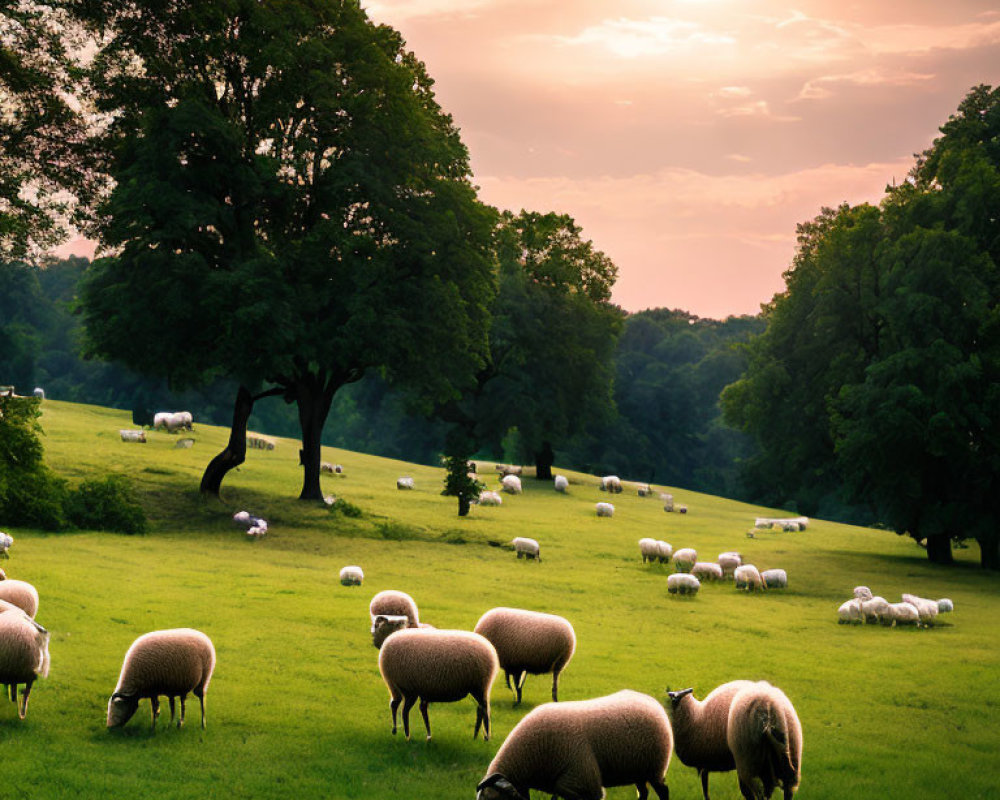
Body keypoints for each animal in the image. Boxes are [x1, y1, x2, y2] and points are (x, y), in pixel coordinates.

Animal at [474, 688, 672, 800]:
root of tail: (650, 700)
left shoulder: (581, 782)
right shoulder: (564, 785)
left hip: (655, 768)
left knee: (663, 791)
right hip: (639, 769)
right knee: (644, 792)